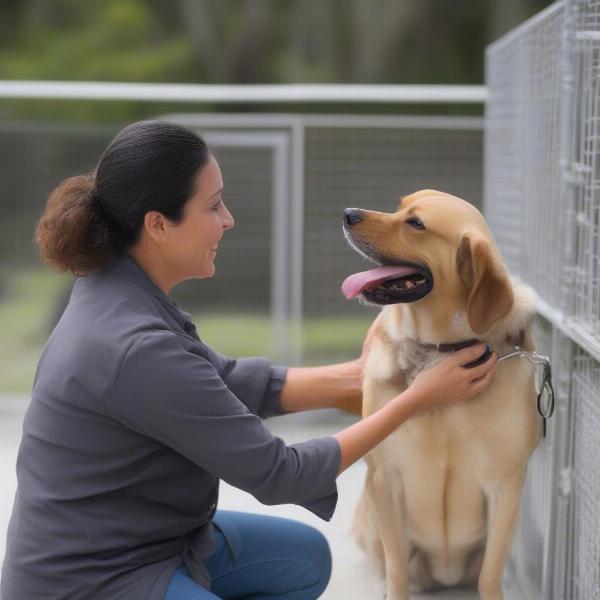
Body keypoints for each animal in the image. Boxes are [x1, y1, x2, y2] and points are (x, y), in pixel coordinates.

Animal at [344, 191, 540, 600]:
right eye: (400, 207)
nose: (347, 213)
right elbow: (396, 569)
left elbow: (490, 574)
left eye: (416, 223)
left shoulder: (506, 484)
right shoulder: (384, 478)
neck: (440, 348)